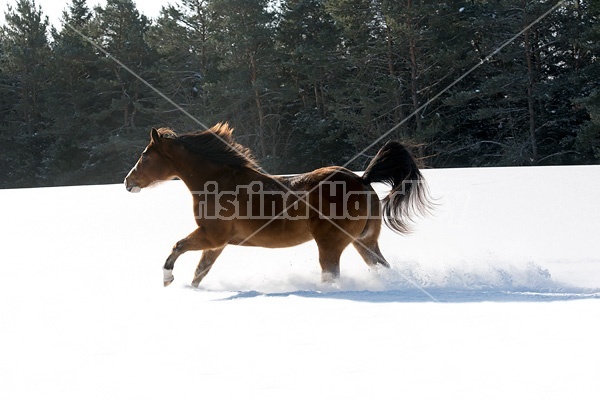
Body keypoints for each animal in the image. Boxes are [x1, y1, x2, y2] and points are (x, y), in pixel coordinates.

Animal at [124, 122, 432, 288]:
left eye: (145, 155)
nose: (128, 181)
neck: (217, 181)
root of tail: (363, 180)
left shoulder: (211, 236)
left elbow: (177, 246)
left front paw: (167, 279)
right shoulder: (217, 243)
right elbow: (201, 271)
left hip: (331, 244)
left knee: (331, 274)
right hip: (364, 241)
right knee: (380, 266)